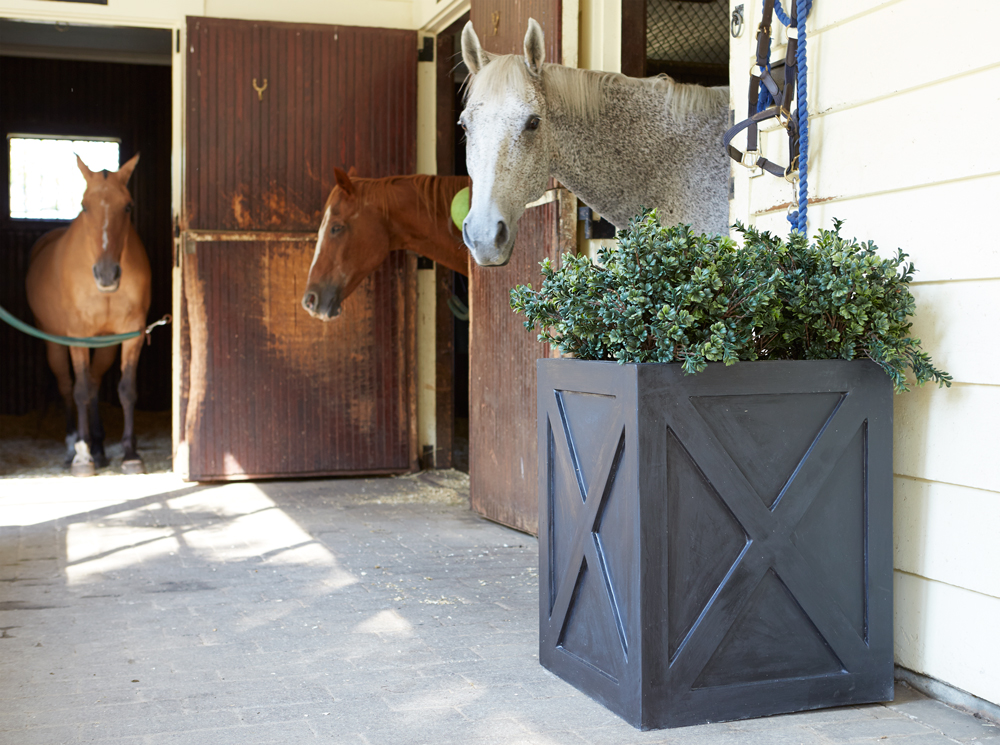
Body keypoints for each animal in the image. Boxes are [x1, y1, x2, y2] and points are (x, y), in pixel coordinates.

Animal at [25, 154, 152, 474]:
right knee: (68, 386)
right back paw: (75, 446)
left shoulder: (131, 333)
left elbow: (126, 389)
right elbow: (79, 390)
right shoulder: (78, 337)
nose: (106, 274)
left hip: (104, 344)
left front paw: (130, 453)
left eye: (128, 206)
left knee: (94, 384)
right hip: (55, 342)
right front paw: (83, 458)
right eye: (84, 206)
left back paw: (98, 447)